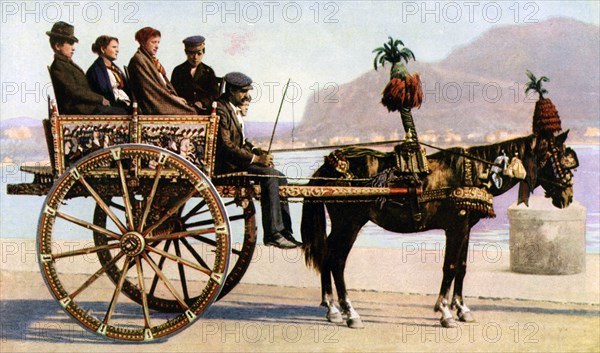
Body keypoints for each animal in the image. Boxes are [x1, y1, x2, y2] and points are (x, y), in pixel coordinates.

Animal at [300, 130, 576, 328]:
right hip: (349, 223)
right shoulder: (455, 227)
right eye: (561, 162)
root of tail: (328, 167)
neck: (479, 172)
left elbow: (461, 267)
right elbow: (450, 267)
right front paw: (445, 311)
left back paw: (332, 308)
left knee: (327, 255)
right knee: (337, 261)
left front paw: (462, 309)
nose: (568, 197)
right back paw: (350, 312)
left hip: (342, 225)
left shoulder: (465, 228)